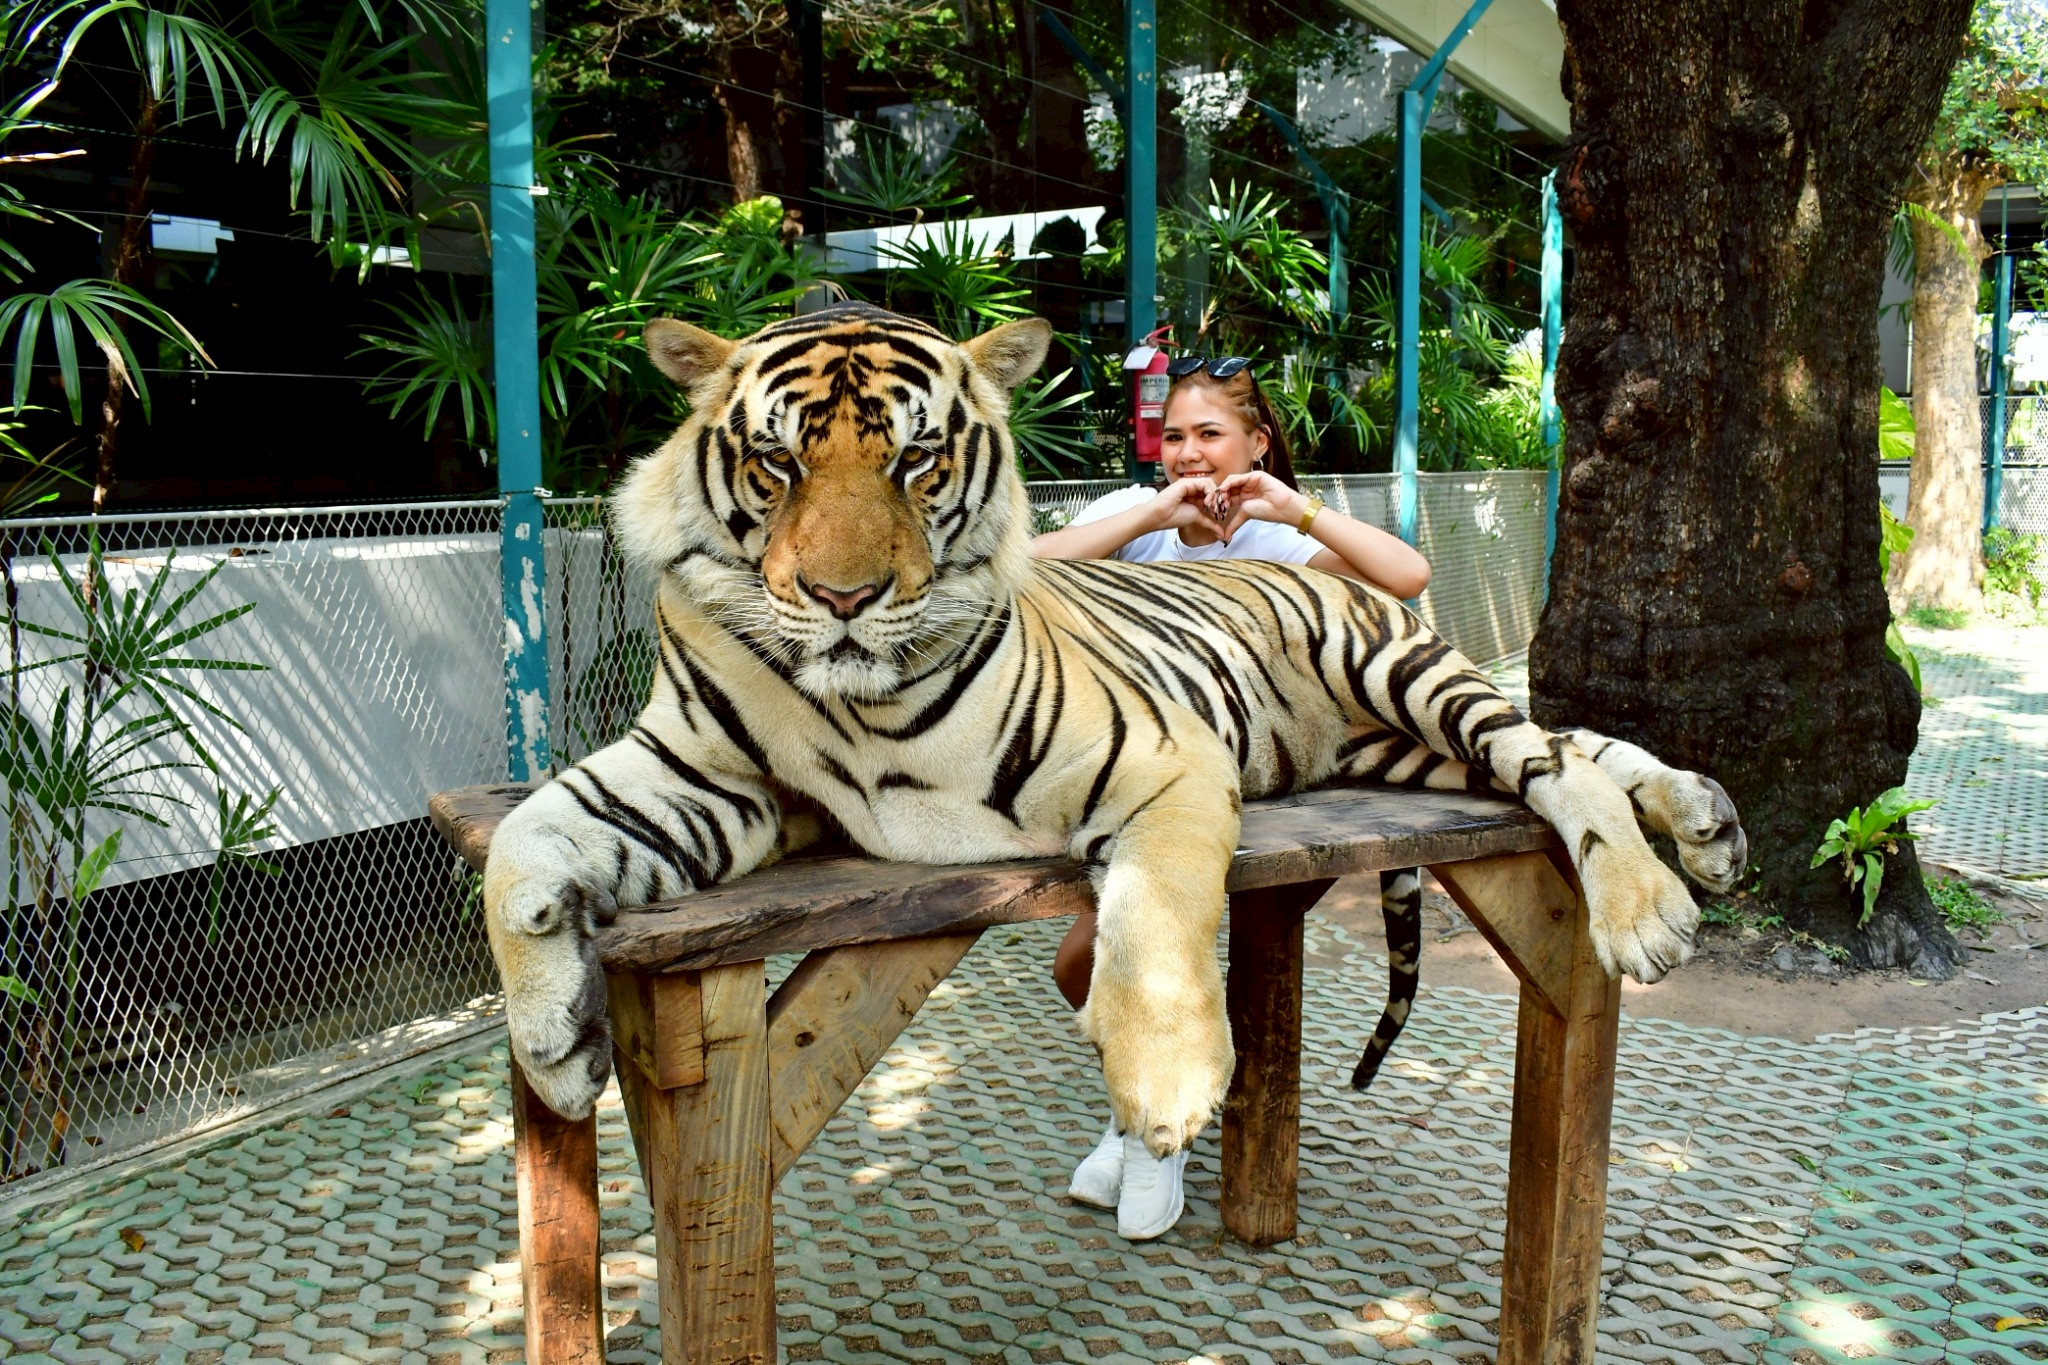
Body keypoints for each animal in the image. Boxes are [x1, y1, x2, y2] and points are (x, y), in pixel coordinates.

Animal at [482, 302, 1748, 1159]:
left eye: (914, 457)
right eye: (777, 459)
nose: (841, 598)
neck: (849, 693)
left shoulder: (1162, 761)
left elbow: (1157, 916)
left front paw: (1171, 1086)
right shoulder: (699, 775)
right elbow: (519, 846)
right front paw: (555, 1053)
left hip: (1397, 668)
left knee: (1552, 762)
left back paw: (1652, 907)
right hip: (1404, 746)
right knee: (1566, 748)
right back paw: (1708, 820)